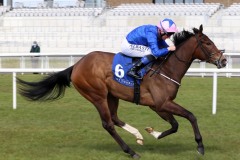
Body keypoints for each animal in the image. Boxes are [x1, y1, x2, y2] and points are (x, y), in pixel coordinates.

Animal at [17, 25, 227, 159]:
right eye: (207, 43)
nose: (223, 60)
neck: (167, 69)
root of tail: (76, 65)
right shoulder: (162, 103)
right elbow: (191, 116)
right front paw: (200, 146)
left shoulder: (157, 105)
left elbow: (175, 125)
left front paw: (153, 133)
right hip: (97, 95)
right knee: (108, 124)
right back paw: (131, 151)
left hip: (112, 95)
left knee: (115, 118)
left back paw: (138, 136)